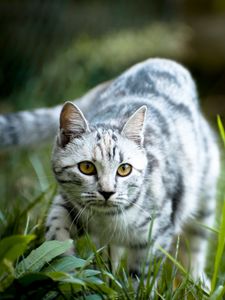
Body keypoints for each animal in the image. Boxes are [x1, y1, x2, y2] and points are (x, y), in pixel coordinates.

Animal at [0, 58, 220, 286]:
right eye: (86, 167)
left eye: (124, 169)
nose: (107, 192)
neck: (109, 220)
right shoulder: (68, 205)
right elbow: (55, 231)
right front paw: (69, 271)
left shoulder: (157, 233)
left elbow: (143, 274)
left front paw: (133, 289)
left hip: (204, 198)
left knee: (195, 244)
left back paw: (197, 281)